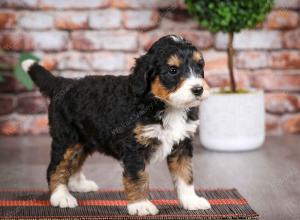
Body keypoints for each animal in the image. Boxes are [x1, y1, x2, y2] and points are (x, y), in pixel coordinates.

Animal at [21, 35, 210, 216]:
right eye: (173, 70)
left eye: (199, 66)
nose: (198, 89)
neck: (166, 106)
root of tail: (63, 83)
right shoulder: (133, 147)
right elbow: (138, 177)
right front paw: (141, 205)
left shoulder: (182, 145)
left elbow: (185, 174)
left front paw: (191, 200)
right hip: (66, 138)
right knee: (55, 167)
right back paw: (61, 196)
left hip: (84, 139)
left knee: (75, 161)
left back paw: (78, 184)